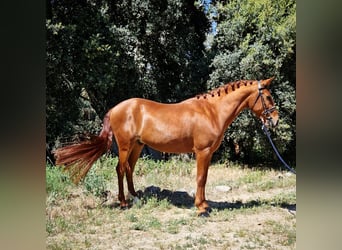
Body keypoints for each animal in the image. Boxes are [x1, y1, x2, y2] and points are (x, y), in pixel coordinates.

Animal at [53, 78, 278, 217]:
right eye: (268, 97)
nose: (275, 120)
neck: (211, 111)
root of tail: (115, 108)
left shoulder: (207, 154)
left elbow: (204, 179)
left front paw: (205, 205)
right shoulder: (202, 152)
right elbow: (200, 178)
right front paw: (201, 209)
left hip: (137, 146)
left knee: (129, 169)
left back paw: (136, 198)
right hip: (125, 146)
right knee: (120, 169)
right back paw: (124, 203)